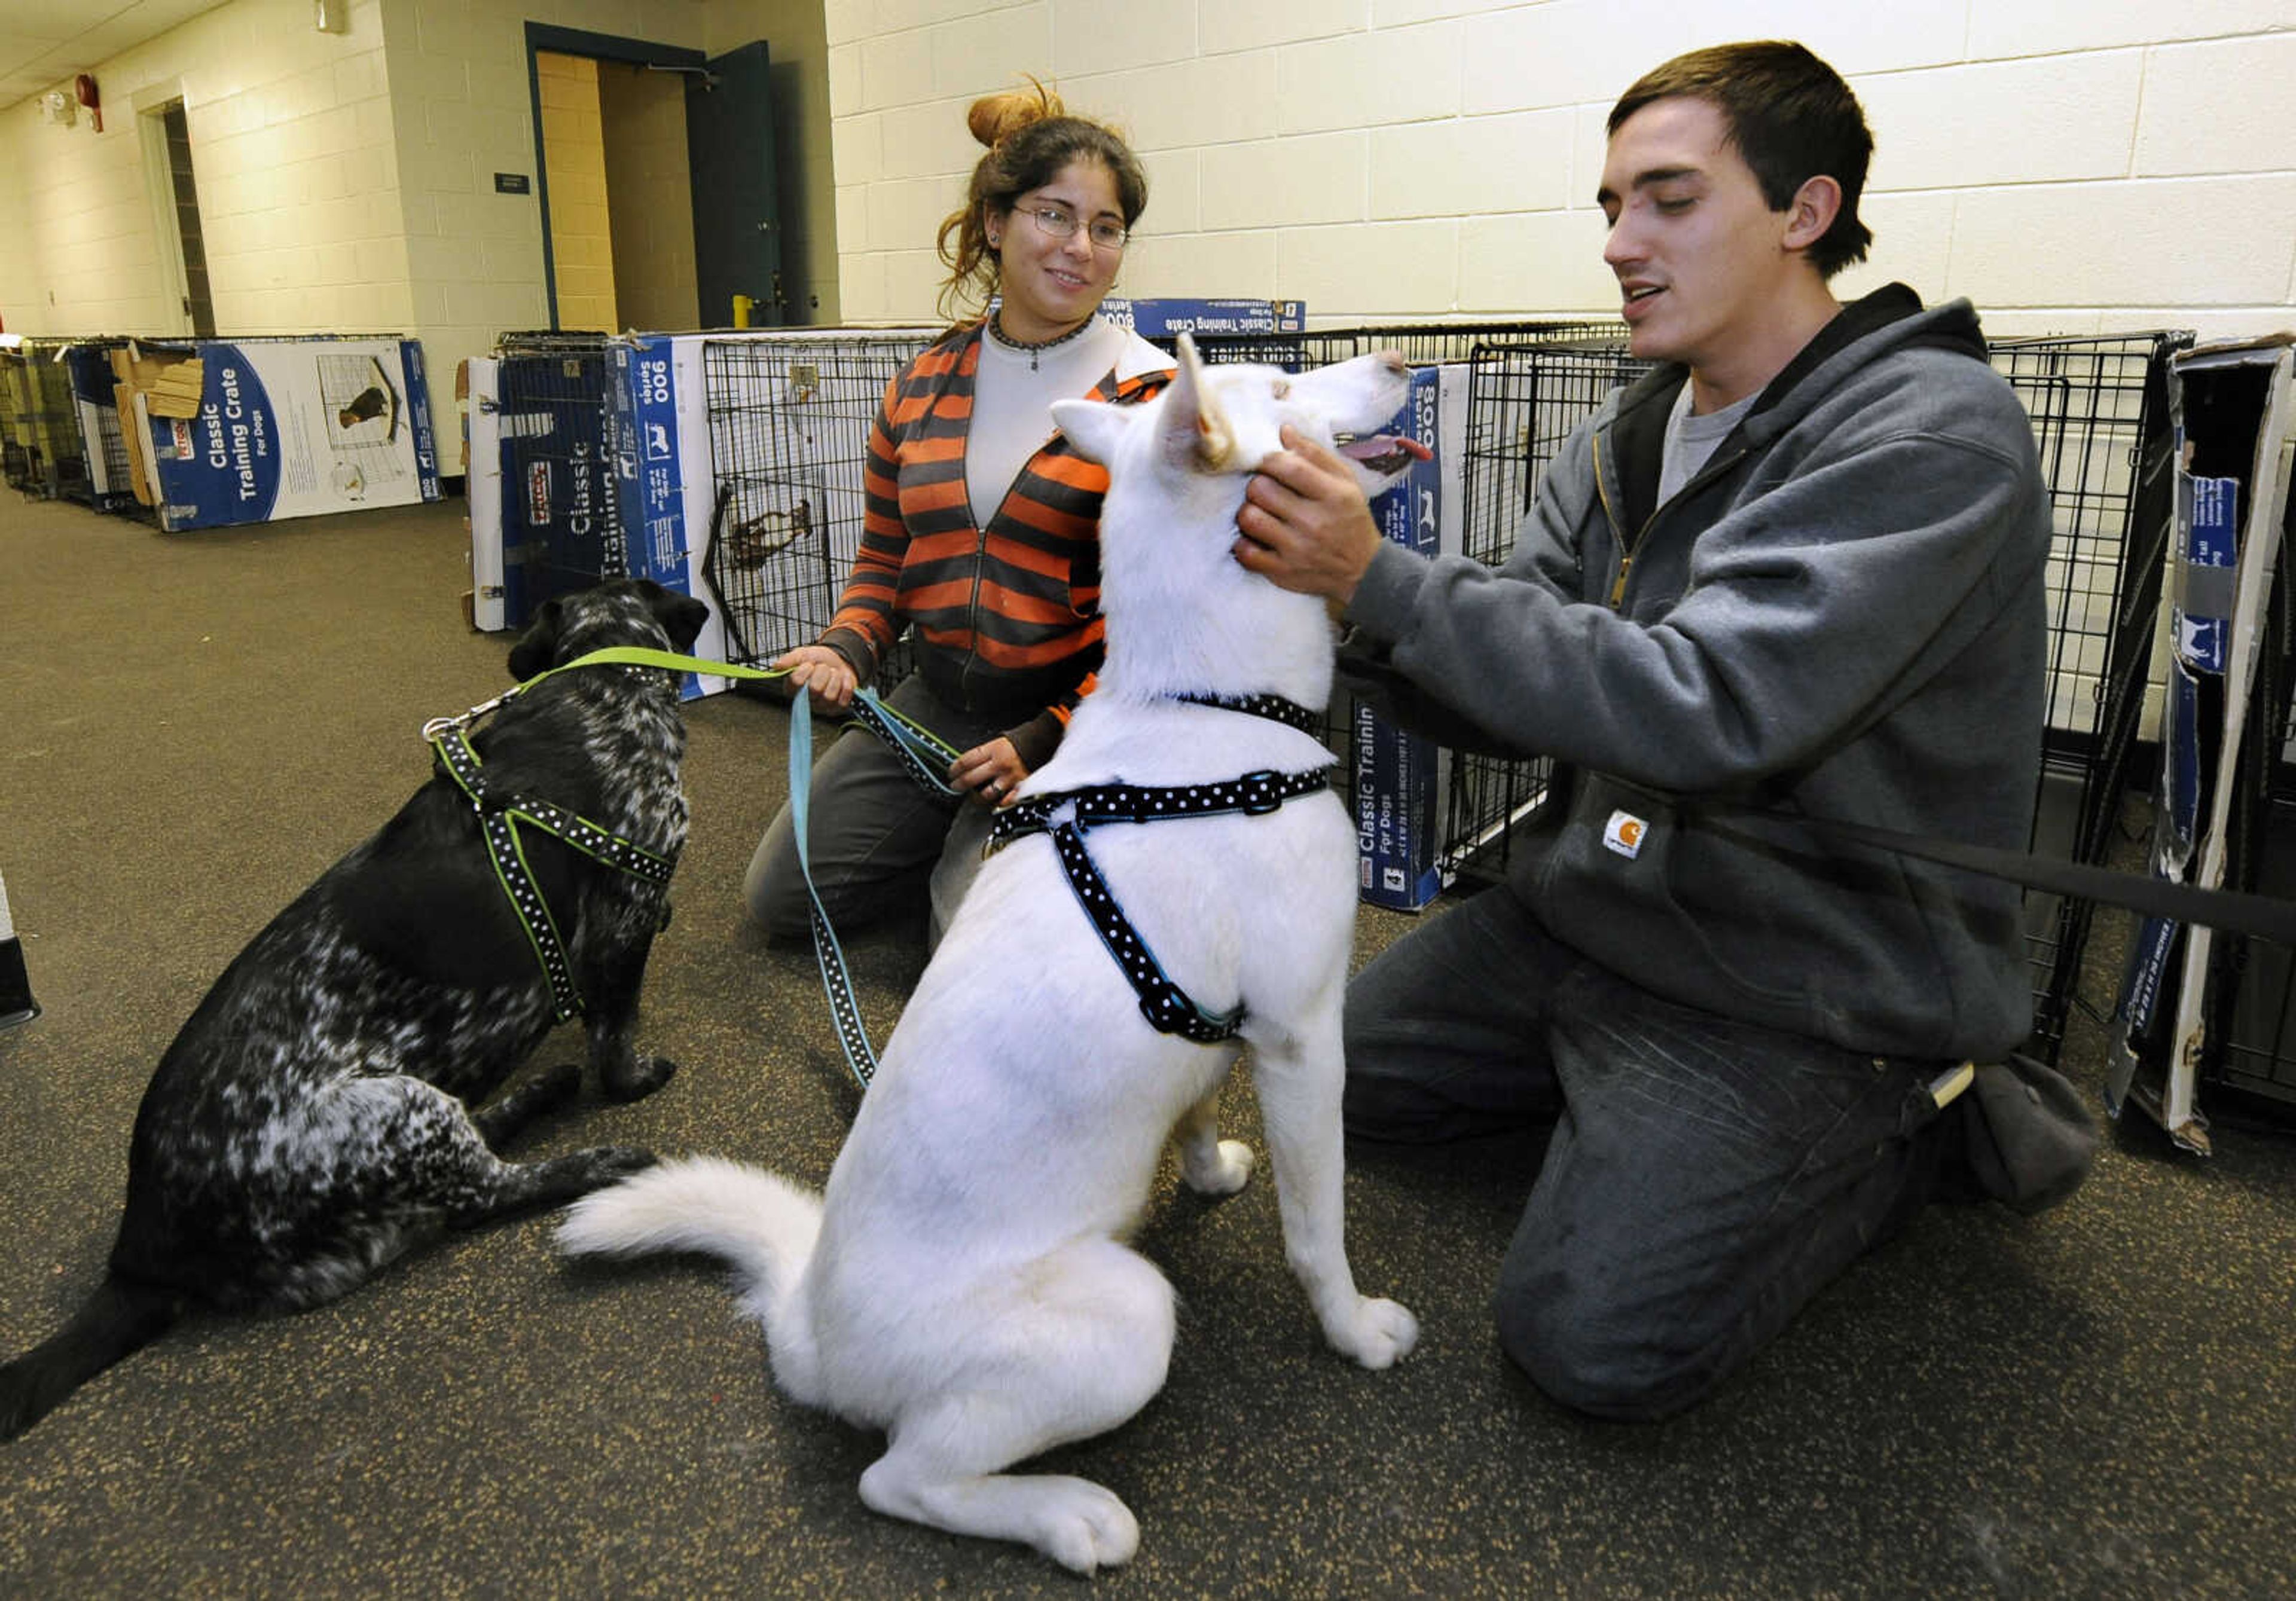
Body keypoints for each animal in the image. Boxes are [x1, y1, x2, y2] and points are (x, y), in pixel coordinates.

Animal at [0, 574, 703, 1433]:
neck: (598, 685)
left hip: (400, 1127)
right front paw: (634, 1081)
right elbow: (617, 1035)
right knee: (485, 1193)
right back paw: (602, 1158)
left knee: (475, 1158)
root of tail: (140, 1251)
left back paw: (544, 1089)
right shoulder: (627, 915)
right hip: (397, 1110)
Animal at [560, 337, 1414, 1571]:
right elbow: (1319, 1228)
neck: (1204, 704)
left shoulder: (1232, 1031)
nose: (1399, 355)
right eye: (1282, 390)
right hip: (1129, 1316)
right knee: (900, 1478)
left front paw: (1207, 1169)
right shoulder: (1305, 1039)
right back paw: (1070, 1514)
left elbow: (1199, 1100)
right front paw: (1354, 1329)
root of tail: (808, 1325)